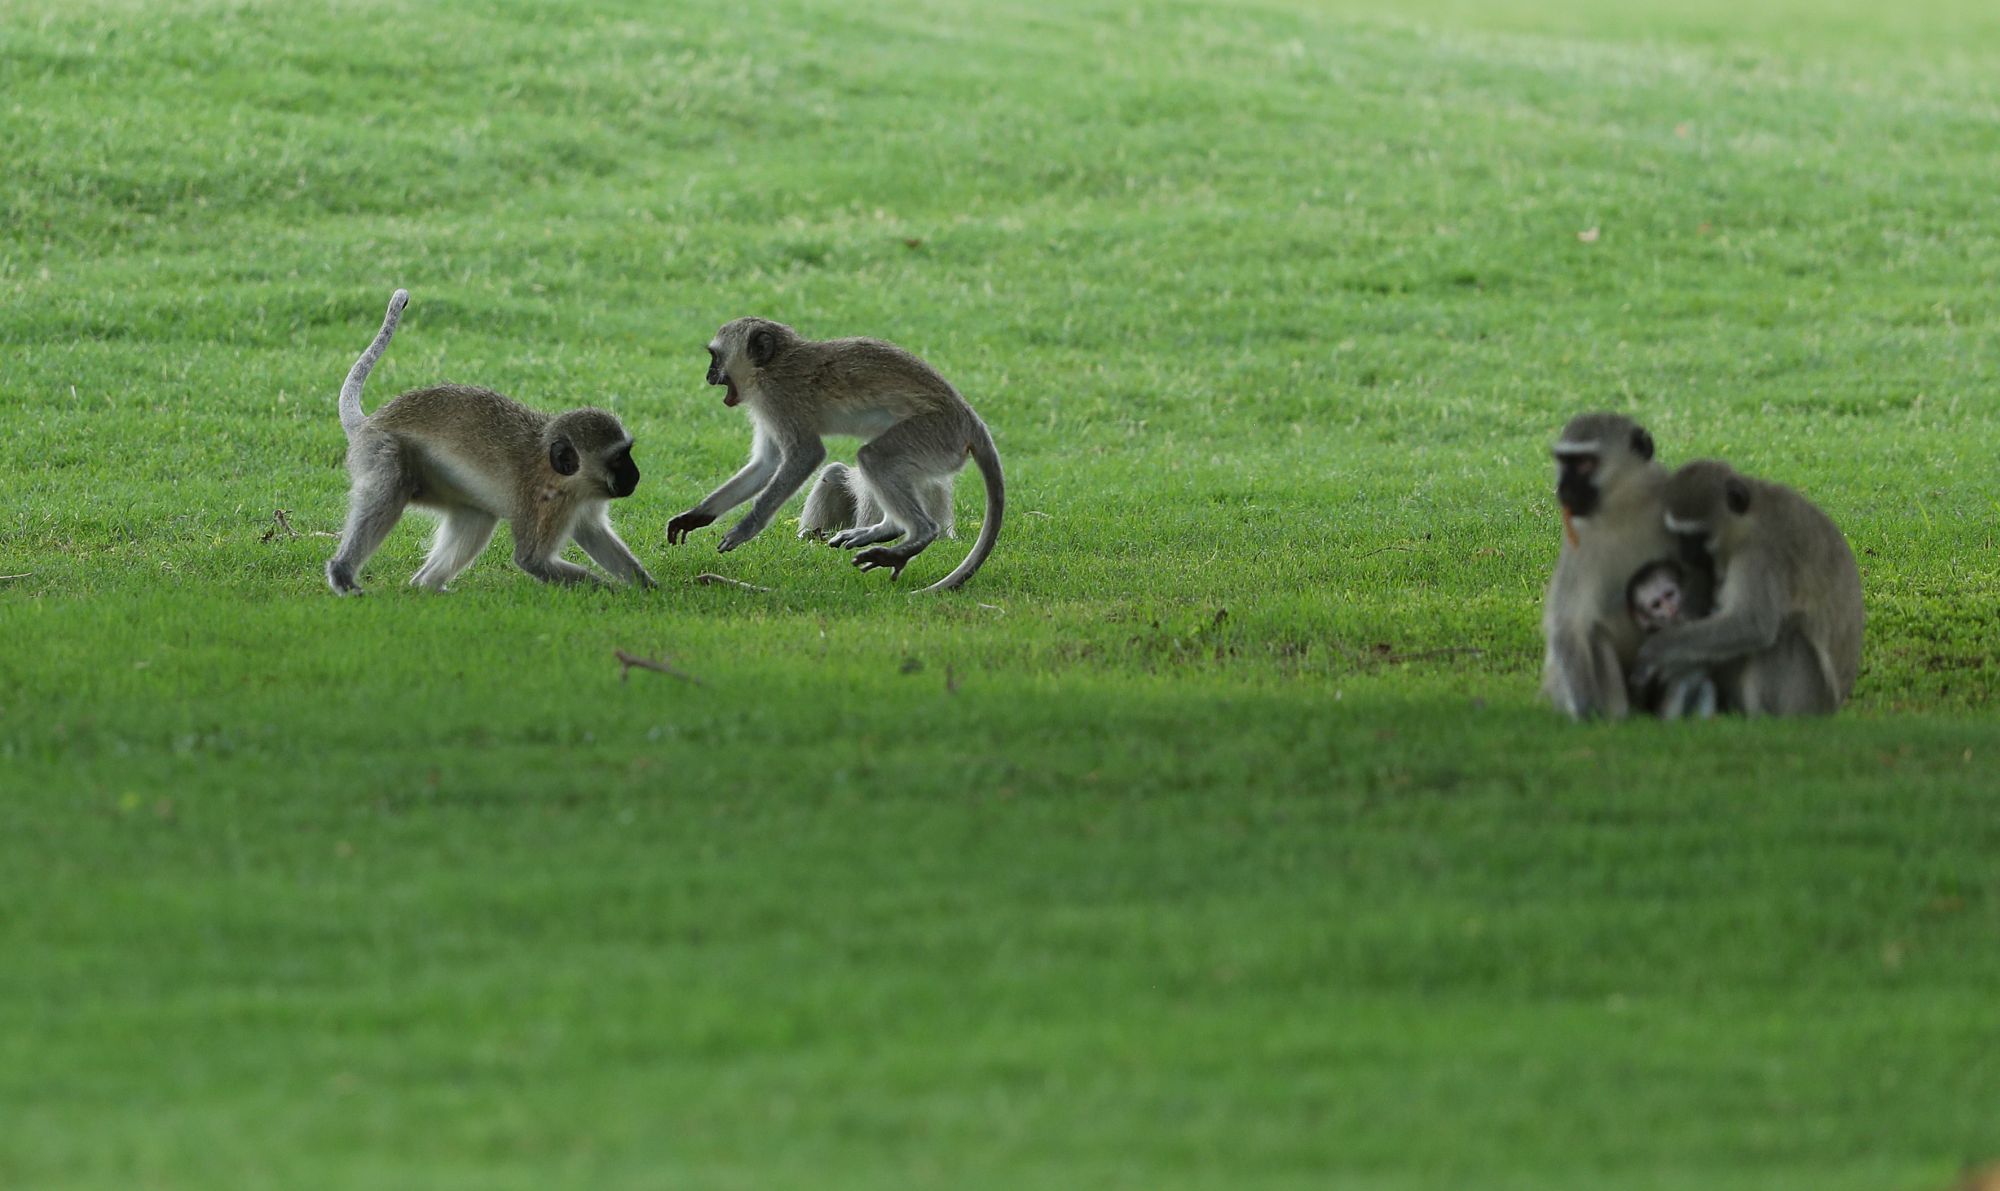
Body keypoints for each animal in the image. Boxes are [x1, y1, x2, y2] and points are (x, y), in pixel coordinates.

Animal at [326, 289, 656, 595]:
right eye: (618, 459)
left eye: (627, 453)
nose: (635, 476)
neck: (561, 477)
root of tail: (372, 421)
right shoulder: (545, 504)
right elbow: (532, 560)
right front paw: (615, 594)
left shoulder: (582, 500)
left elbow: (593, 533)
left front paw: (648, 588)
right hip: (377, 449)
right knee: (391, 481)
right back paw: (342, 571)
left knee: (478, 518)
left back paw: (428, 586)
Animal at [668, 317, 1000, 591]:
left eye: (715, 357)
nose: (709, 375)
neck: (772, 366)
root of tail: (969, 420)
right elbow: (765, 464)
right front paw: (695, 517)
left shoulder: (780, 399)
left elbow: (806, 454)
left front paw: (746, 528)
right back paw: (888, 529)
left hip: (936, 436)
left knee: (874, 458)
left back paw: (918, 535)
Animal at [1536, 413, 1696, 719]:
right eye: (1564, 462)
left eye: (1585, 463)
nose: (1563, 489)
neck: (1624, 510)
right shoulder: (1581, 540)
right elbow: (1570, 623)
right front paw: (1587, 711)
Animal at [1632, 459, 1864, 711]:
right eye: (1678, 535)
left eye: (1696, 537)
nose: (1685, 556)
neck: (1752, 519)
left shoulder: (1760, 555)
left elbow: (1752, 624)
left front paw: (1654, 650)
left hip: (1813, 697)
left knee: (1788, 634)